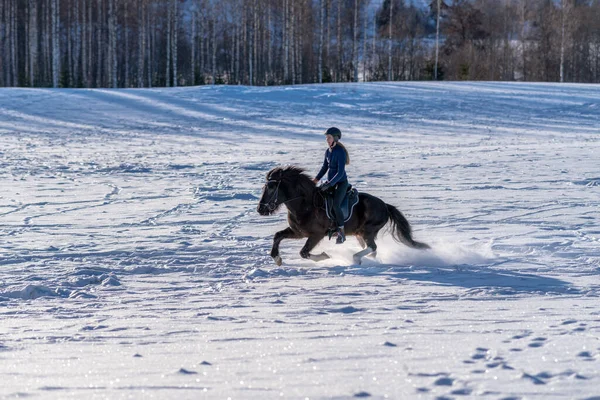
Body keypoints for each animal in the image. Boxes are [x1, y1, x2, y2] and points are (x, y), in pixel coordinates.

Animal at [255, 166, 428, 266]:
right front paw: (277, 259)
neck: (305, 205)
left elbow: (304, 252)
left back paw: (355, 259)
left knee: (372, 247)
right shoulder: (298, 232)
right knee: (371, 250)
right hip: (360, 233)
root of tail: (385, 206)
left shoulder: (316, 234)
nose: (260, 209)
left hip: (368, 231)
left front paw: (325, 256)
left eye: (271, 186)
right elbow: (278, 236)